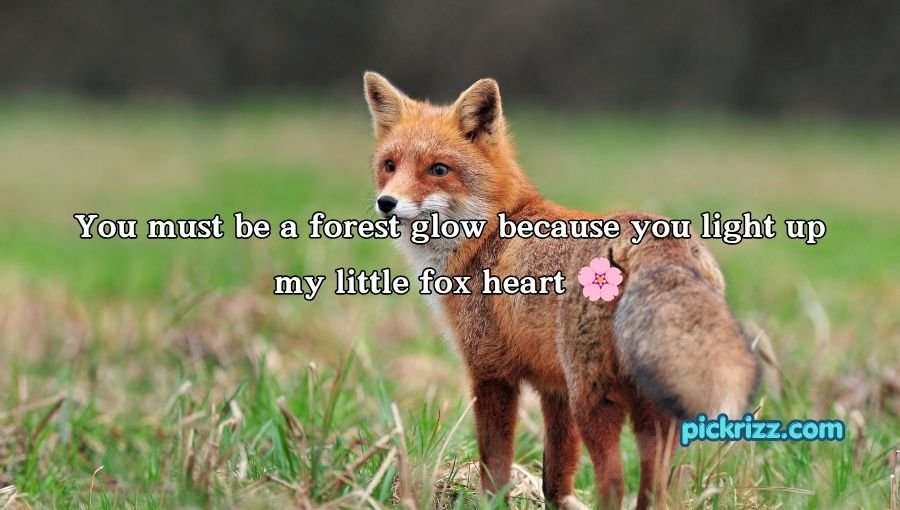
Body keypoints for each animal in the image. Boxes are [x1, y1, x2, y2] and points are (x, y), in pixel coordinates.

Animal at [362, 72, 760, 509]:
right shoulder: (555, 388)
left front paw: (491, 502)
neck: (489, 232)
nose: (386, 203)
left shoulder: (491, 373)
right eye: (389, 166)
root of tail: (655, 235)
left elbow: (495, 466)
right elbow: (556, 477)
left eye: (438, 169)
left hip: (596, 401)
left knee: (613, 484)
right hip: (649, 410)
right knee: (654, 490)